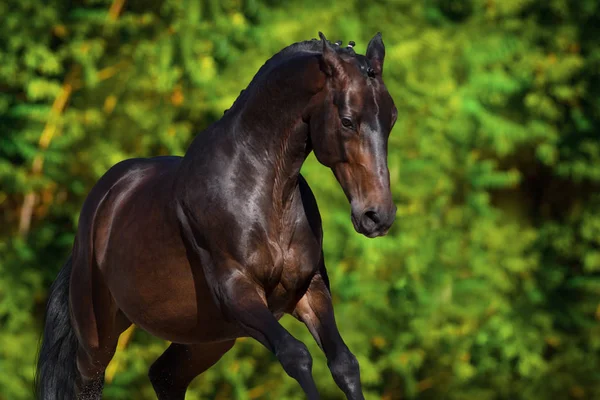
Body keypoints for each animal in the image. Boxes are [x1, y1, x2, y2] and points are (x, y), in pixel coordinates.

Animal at [35, 32, 396, 400]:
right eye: (348, 120)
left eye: (391, 119)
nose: (377, 215)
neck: (263, 191)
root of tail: (97, 210)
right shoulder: (236, 290)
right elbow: (296, 356)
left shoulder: (309, 289)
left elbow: (344, 364)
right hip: (97, 337)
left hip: (209, 337)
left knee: (165, 375)